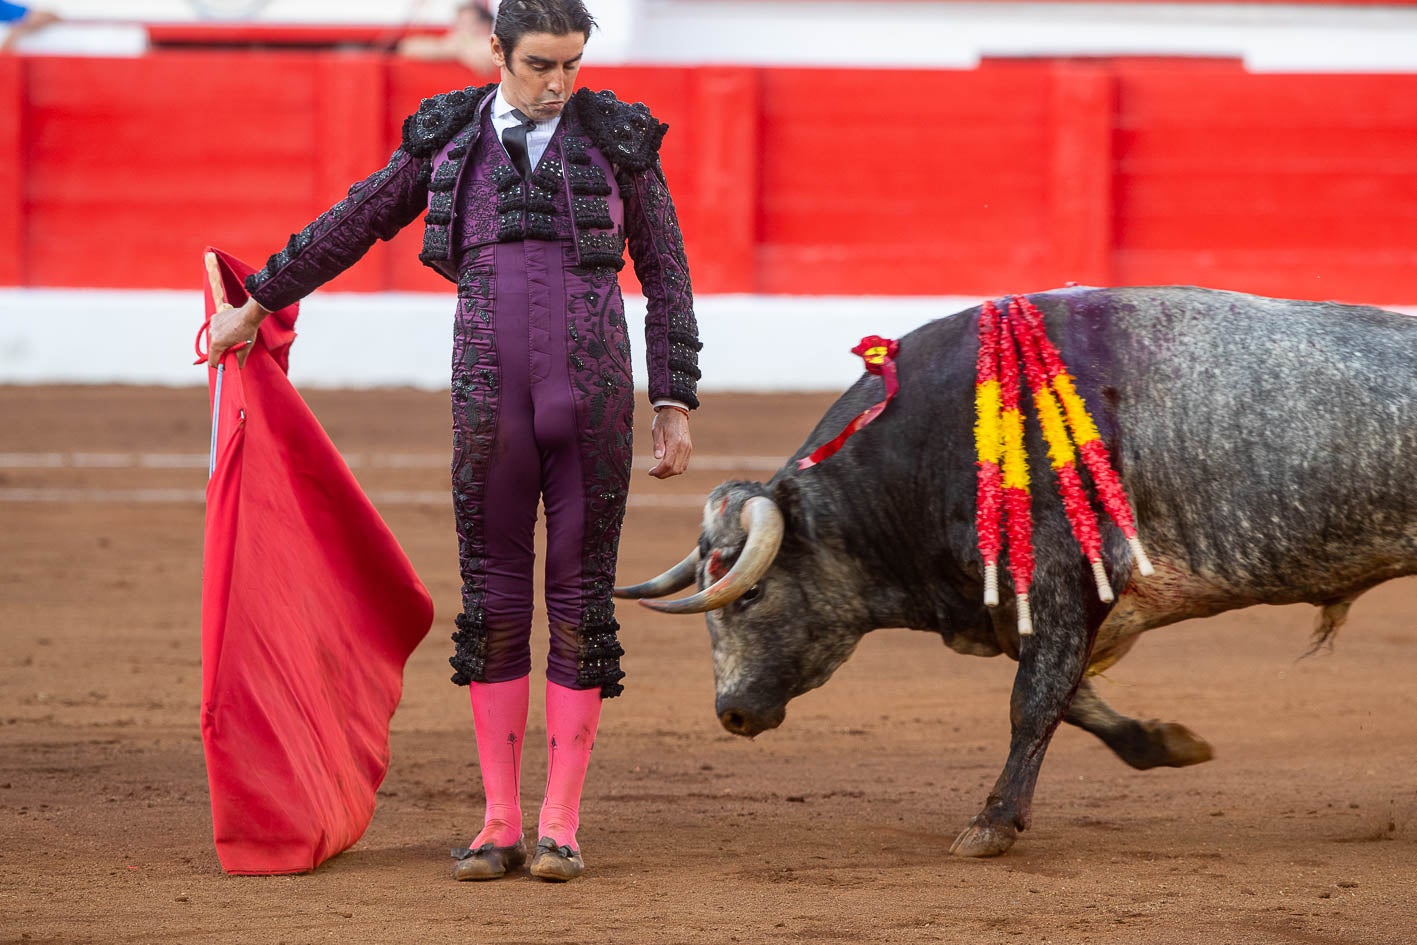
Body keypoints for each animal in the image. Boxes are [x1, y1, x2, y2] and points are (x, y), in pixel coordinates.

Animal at [620, 286, 1417, 855]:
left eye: (751, 592)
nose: (731, 712)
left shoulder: (1065, 585)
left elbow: (1032, 702)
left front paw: (991, 825)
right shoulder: (1024, 607)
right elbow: (1071, 698)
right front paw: (1165, 743)